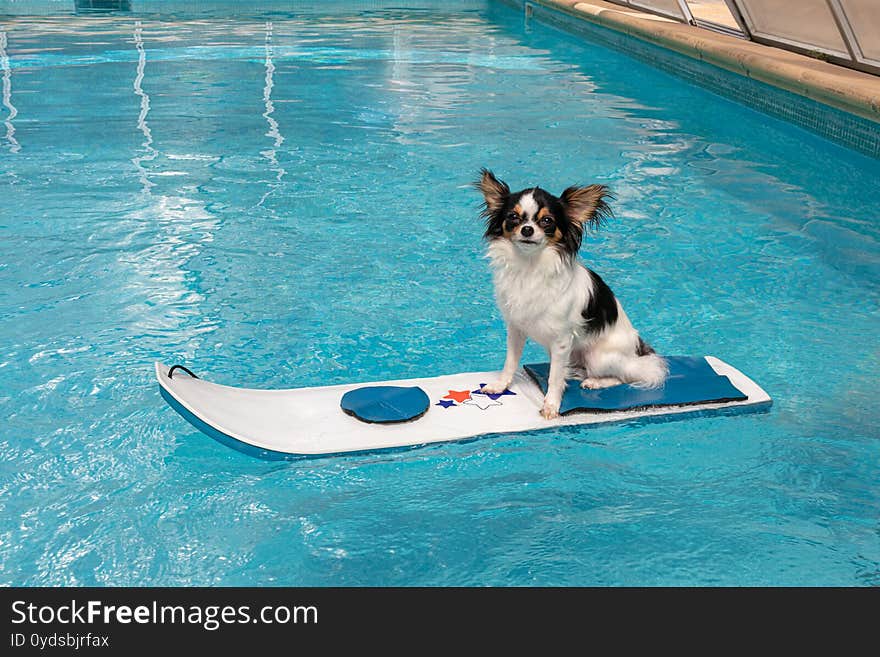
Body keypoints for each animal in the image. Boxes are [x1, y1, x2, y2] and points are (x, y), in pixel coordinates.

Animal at [478, 168, 664, 416]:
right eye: (513, 218)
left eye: (547, 221)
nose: (527, 229)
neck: (530, 266)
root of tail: (638, 351)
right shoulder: (516, 329)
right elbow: (510, 362)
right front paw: (501, 385)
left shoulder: (562, 340)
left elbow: (555, 378)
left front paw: (551, 405)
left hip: (599, 357)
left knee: (625, 376)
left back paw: (595, 381)